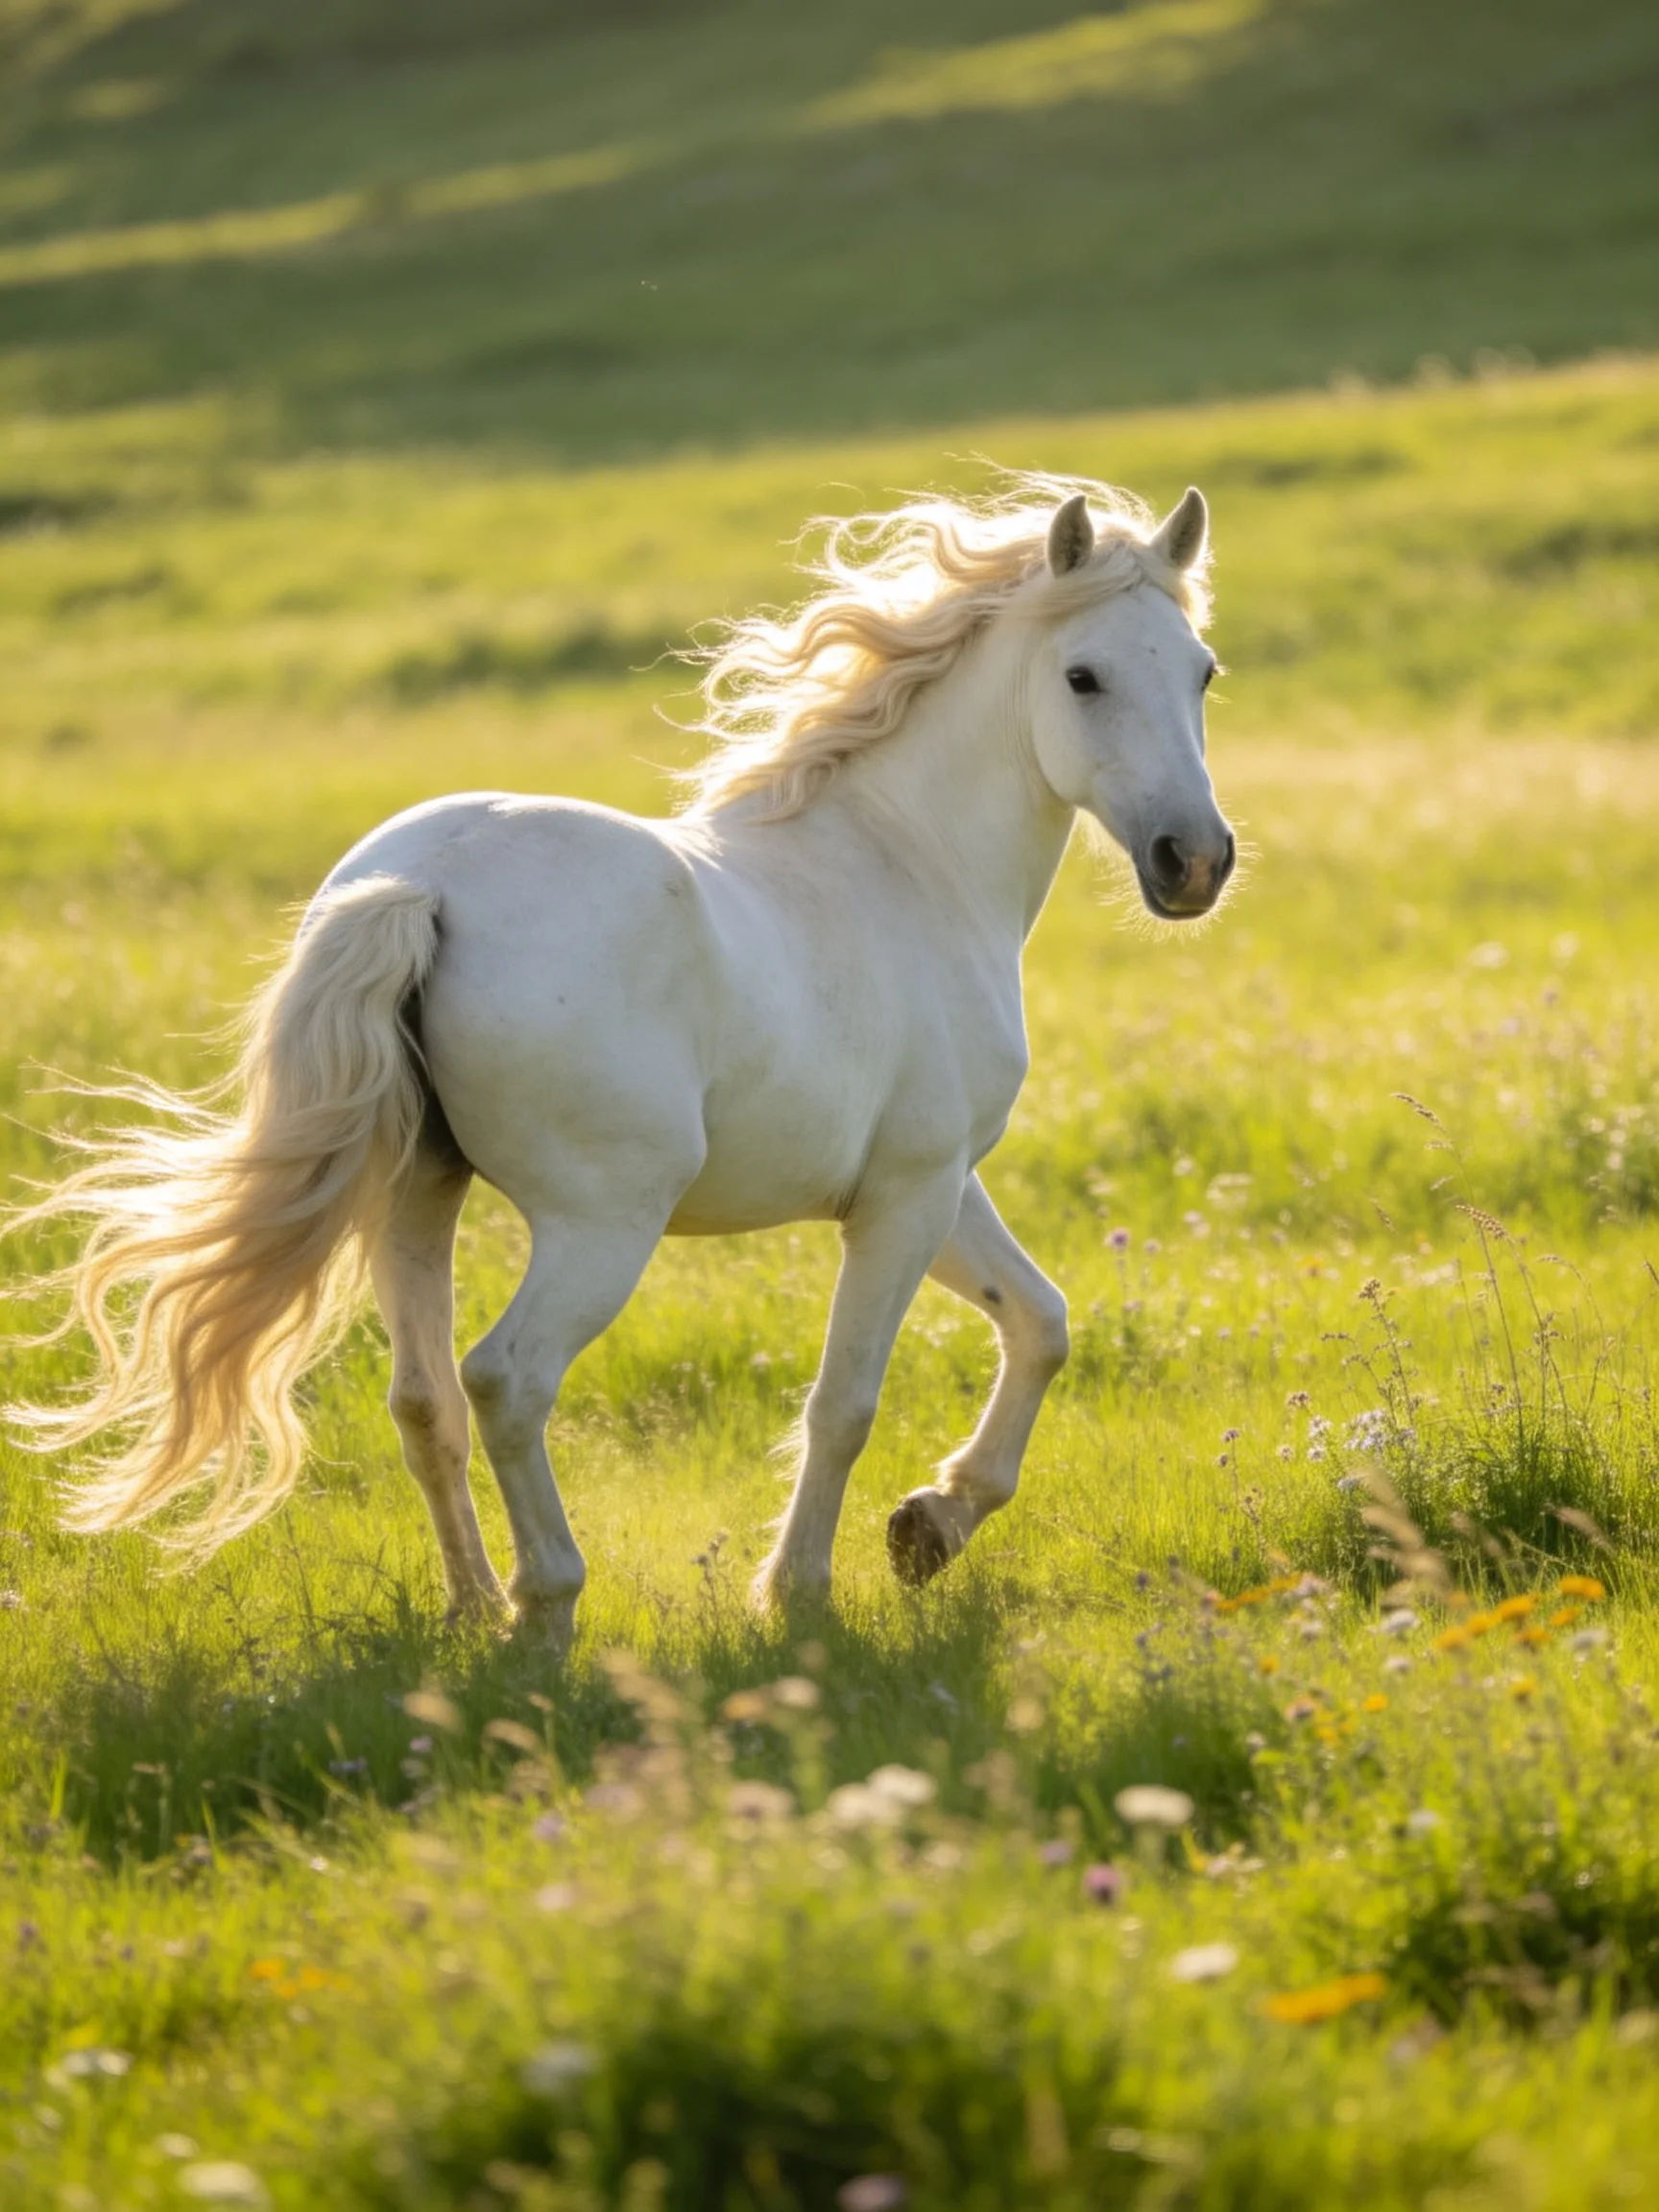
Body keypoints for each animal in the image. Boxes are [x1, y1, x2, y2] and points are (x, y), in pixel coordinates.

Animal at [14, 474, 1235, 1638]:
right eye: (1082, 677)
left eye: (1203, 674)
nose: (1195, 863)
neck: (905, 863)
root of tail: (423, 885)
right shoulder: (907, 1193)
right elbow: (845, 1403)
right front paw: (800, 1594)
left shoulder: (933, 1187)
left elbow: (1041, 1323)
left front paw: (930, 1526)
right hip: (603, 1222)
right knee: (505, 1378)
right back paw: (545, 1608)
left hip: (417, 1194)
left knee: (424, 1399)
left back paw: (470, 1611)